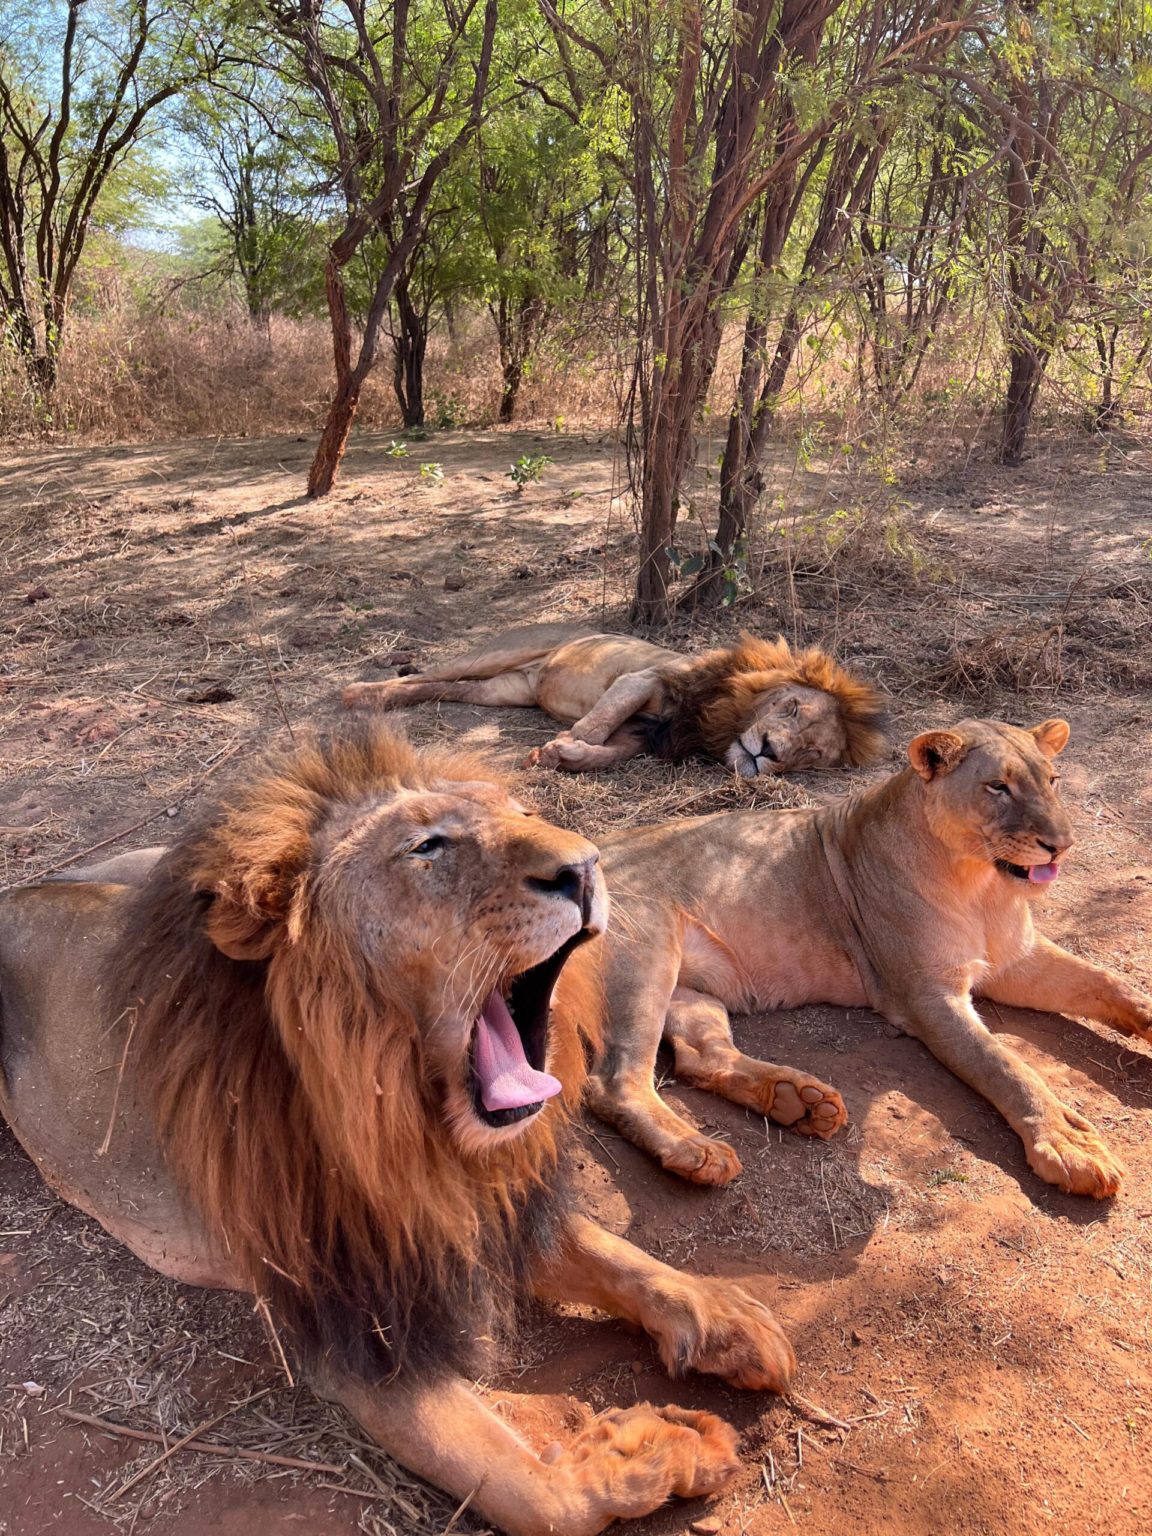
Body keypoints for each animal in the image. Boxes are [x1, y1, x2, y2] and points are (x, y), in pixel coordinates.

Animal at [0, 727, 796, 1536]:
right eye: (427, 846)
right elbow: (532, 1490)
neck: (412, 1129)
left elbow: (614, 1253)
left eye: (522, 812)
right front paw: (659, 1455)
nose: (586, 866)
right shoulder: (350, 1326)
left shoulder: (493, 1205)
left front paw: (725, 1315)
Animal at [342, 623, 886, 775]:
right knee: (430, 672)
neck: (717, 718)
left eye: (812, 754)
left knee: (445, 688)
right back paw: (361, 694)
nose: (769, 751)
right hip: (497, 653)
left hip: (502, 691)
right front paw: (553, 749)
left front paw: (569, 755)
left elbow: (606, 750)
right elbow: (597, 721)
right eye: (790, 707)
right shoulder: (644, 680)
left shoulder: (642, 735)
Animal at [565, 717, 1152, 1199]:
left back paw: (798, 1100)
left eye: (1052, 781)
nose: (1062, 844)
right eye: (997, 787)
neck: (984, 886)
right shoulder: (925, 996)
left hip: (691, 990)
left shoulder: (1015, 958)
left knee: (698, 1057)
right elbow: (1005, 1065)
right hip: (643, 957)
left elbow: (1107, 983)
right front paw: (1069, 1147)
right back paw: (697, 1152)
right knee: (614, 1082)